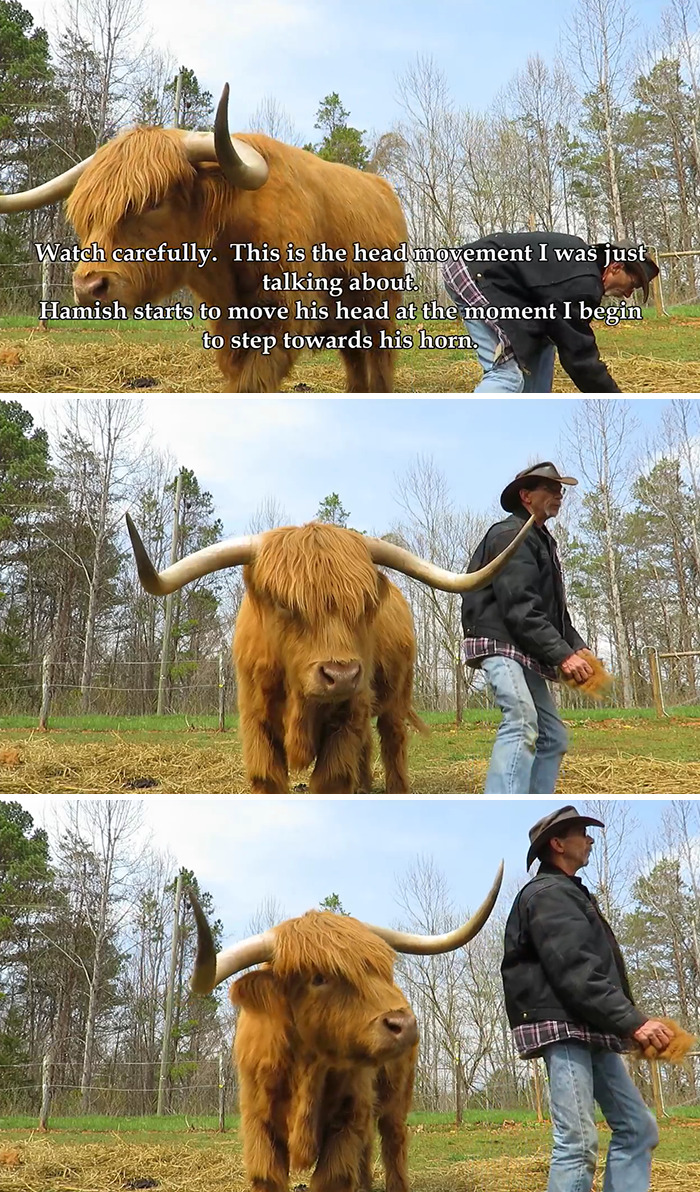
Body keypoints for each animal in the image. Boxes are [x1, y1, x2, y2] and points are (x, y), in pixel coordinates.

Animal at [0, 86, 408, 393]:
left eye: (154, 202)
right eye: (85, 214)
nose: (89, 287)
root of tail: (384, 191)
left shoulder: (283, 321)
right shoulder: (227, 329)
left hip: (382, 312)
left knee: (380, 366)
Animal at [126, 513, 534, 793]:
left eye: (364, 604)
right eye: (284, 604)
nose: (341, 676)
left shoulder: (345, 720)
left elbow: (333, 778)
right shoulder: (255, 721)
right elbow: (269, 779)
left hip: (395, 695)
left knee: (392, 741)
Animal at [187, 863, 503, 1192]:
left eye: (380, 968)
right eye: (318, 977)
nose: (404, 1024)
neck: (306, 1069)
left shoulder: (348, 1119)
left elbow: (334, 1176)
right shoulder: (257, 1122)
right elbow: (268, 1177)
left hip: (397, 1096)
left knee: (393, 1141)